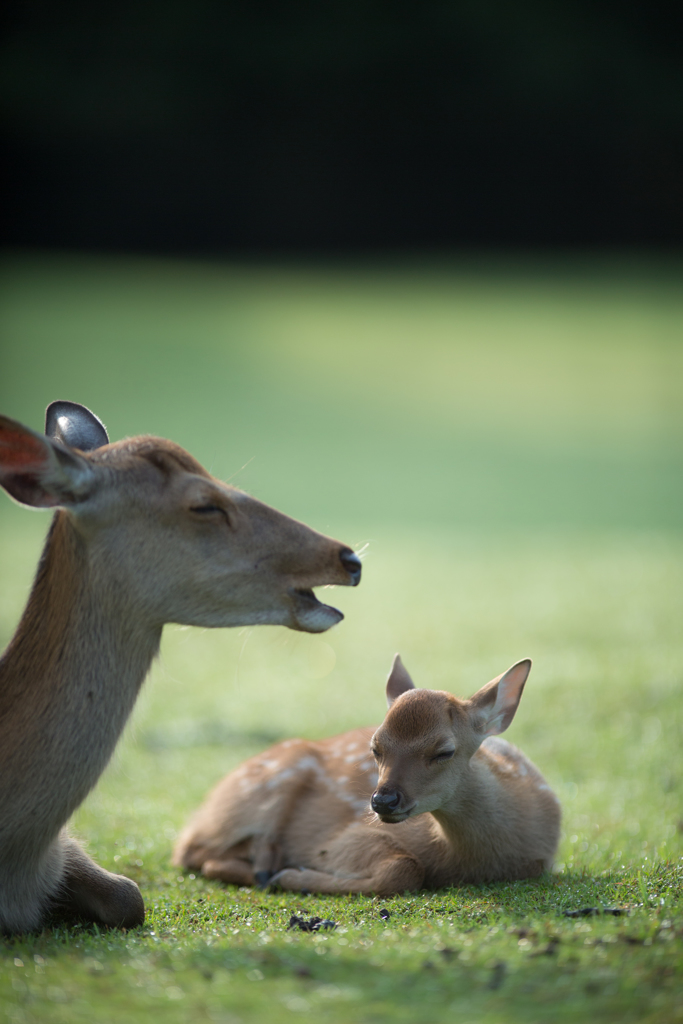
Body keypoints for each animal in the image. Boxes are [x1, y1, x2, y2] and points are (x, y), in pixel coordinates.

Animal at [175, 655, 561, 888]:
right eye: (375, 747)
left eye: (444, 751)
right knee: (192, 852)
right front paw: (294, 874)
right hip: (268, 784)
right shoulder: (344, 837)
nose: (383, 801)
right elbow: (404, 870)